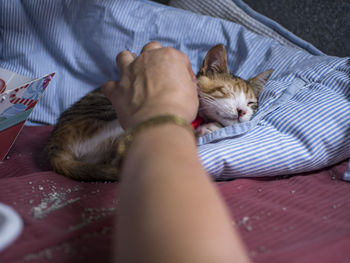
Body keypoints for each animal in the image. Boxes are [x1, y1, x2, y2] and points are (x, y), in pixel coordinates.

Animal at [45, 44, 272, 182]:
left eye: (251, 103)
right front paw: (209, 126)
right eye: (226, 91)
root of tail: (55, 146)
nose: (241, 111)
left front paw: (209, 126)